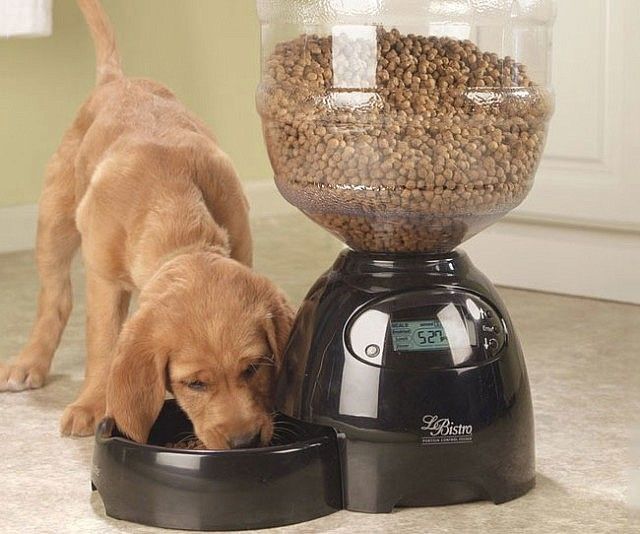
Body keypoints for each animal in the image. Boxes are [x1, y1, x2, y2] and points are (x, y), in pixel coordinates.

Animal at [0, 1, 296, 452]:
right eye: (195, 384)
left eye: (254, 368)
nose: (245, 442)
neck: (176, 216)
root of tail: (116, 80)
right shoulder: (103, 279)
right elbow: (104, 345)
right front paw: (92, 404)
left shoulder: (242, 248)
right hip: (54, 216)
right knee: (55, 298)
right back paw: (29, 362)